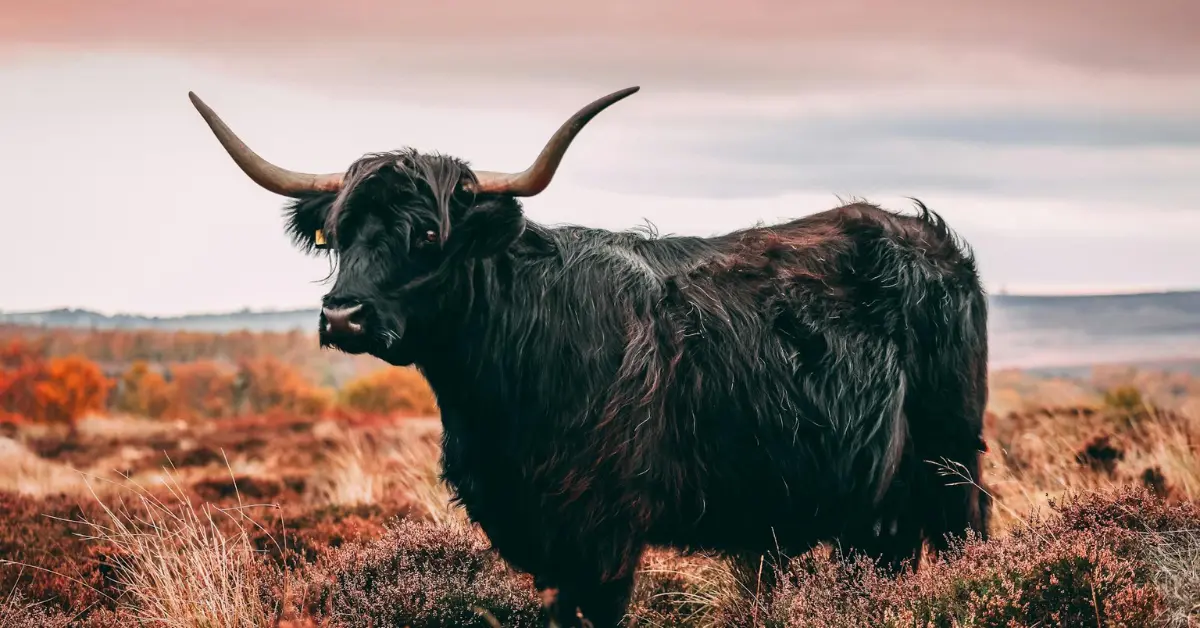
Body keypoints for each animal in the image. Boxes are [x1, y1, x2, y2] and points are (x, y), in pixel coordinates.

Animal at [187, 86, 991, 627]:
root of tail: (931, 239)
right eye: (341, 233)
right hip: (870, 498)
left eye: (428, 235)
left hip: (949, 459)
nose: (343, 315)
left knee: (961, 534)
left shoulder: (604, 530)